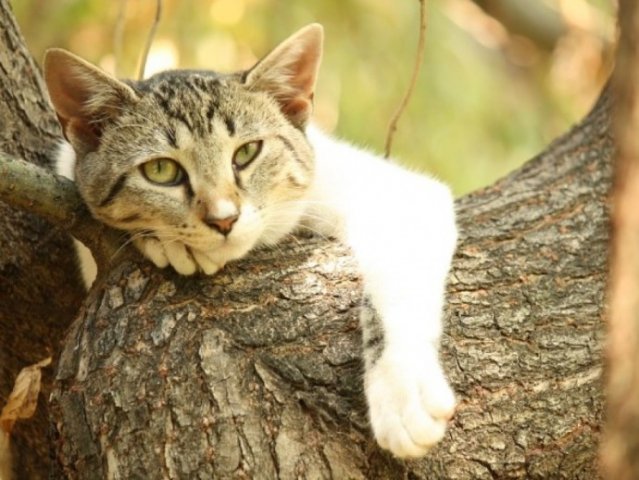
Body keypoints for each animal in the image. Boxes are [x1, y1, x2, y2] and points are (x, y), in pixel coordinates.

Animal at [44, 24, 458, 459]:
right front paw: (169, 243)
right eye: (160, 170)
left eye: (247, 152)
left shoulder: (394, 192)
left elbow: (397, 285)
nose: (224, 218)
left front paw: (403, 393)